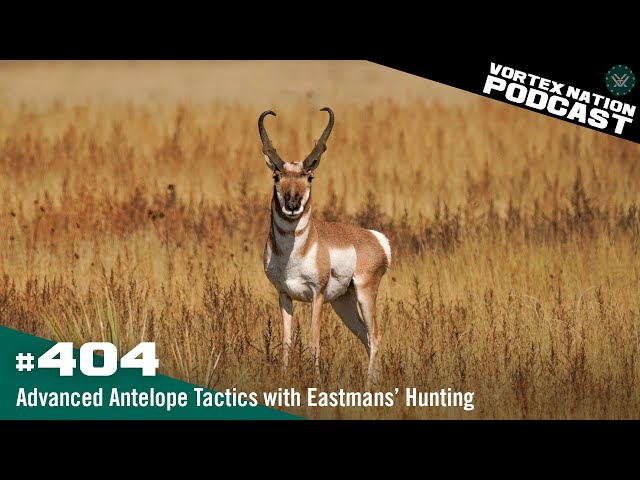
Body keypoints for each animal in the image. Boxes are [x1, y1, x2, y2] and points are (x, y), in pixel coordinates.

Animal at [260, 107, 391, 385]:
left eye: (310, 177)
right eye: (277, 176)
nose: (292, 204)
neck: (293, 255)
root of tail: (376, 238)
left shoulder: (316, 296)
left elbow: (314, 342)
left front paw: (316, 382)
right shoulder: (284, 295)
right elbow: (286, 342)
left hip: (365, 294)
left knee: (375, 336)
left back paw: (368, 386)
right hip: (343, 303)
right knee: (365, 336)